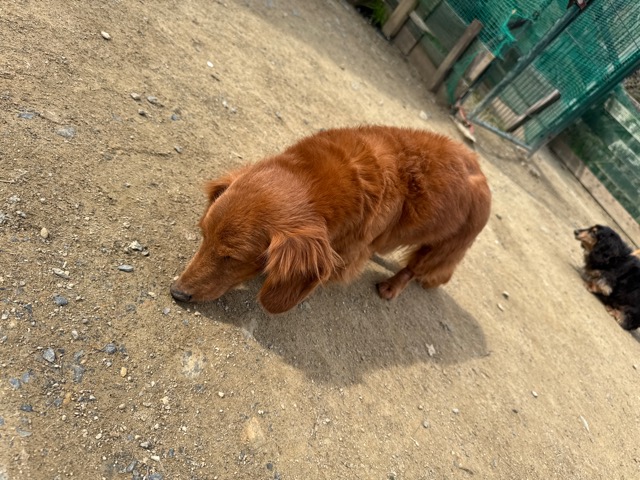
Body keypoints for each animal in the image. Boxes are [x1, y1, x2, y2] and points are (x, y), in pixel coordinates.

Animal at [170, 126, 492, 314]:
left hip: (442, 249)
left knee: (413, 269)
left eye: (232, 258)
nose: (176, 292)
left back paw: (392, 286)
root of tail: (482, 173)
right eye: (203, 236)